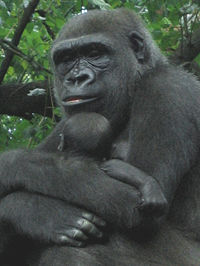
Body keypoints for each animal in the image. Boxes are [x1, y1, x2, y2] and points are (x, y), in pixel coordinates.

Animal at [0, 8, 200, 266]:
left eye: (95, 53)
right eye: (66, 59)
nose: (77, 79)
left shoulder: (168, 90)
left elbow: (138, 207)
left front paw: (12, 177)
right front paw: (36, 211)